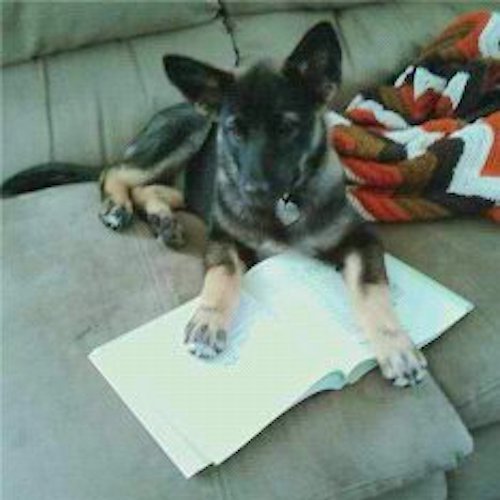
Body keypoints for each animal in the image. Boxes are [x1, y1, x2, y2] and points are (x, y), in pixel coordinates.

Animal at [1, 22, 428, 386]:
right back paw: (117, 207)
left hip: (192, 181)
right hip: (185, 132)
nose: (252, 189)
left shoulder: (361, 238)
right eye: (234, 131)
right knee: (116, 171)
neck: (283, 203)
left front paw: (396, 346)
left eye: (287, 128)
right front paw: (208, 322)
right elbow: (222, 275)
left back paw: (163, 221)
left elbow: (371, 289)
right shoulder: (223, 237)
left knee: (153, 189)